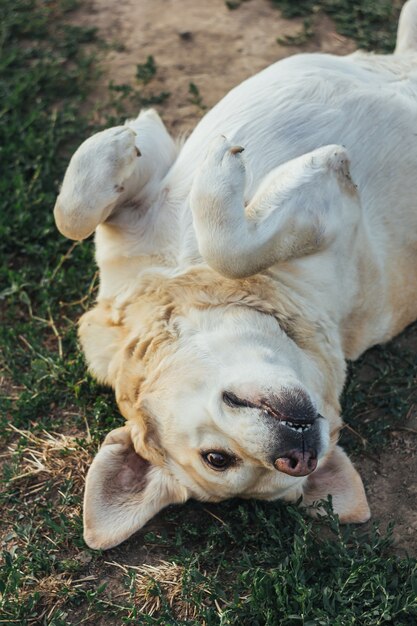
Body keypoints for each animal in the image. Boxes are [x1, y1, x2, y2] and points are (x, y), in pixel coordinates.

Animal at [53, 0, 416, 544]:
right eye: (218, 459)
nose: (298, 456)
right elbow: (225, 244)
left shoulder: (143, 212)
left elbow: (74, 215)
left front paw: (125, 141)